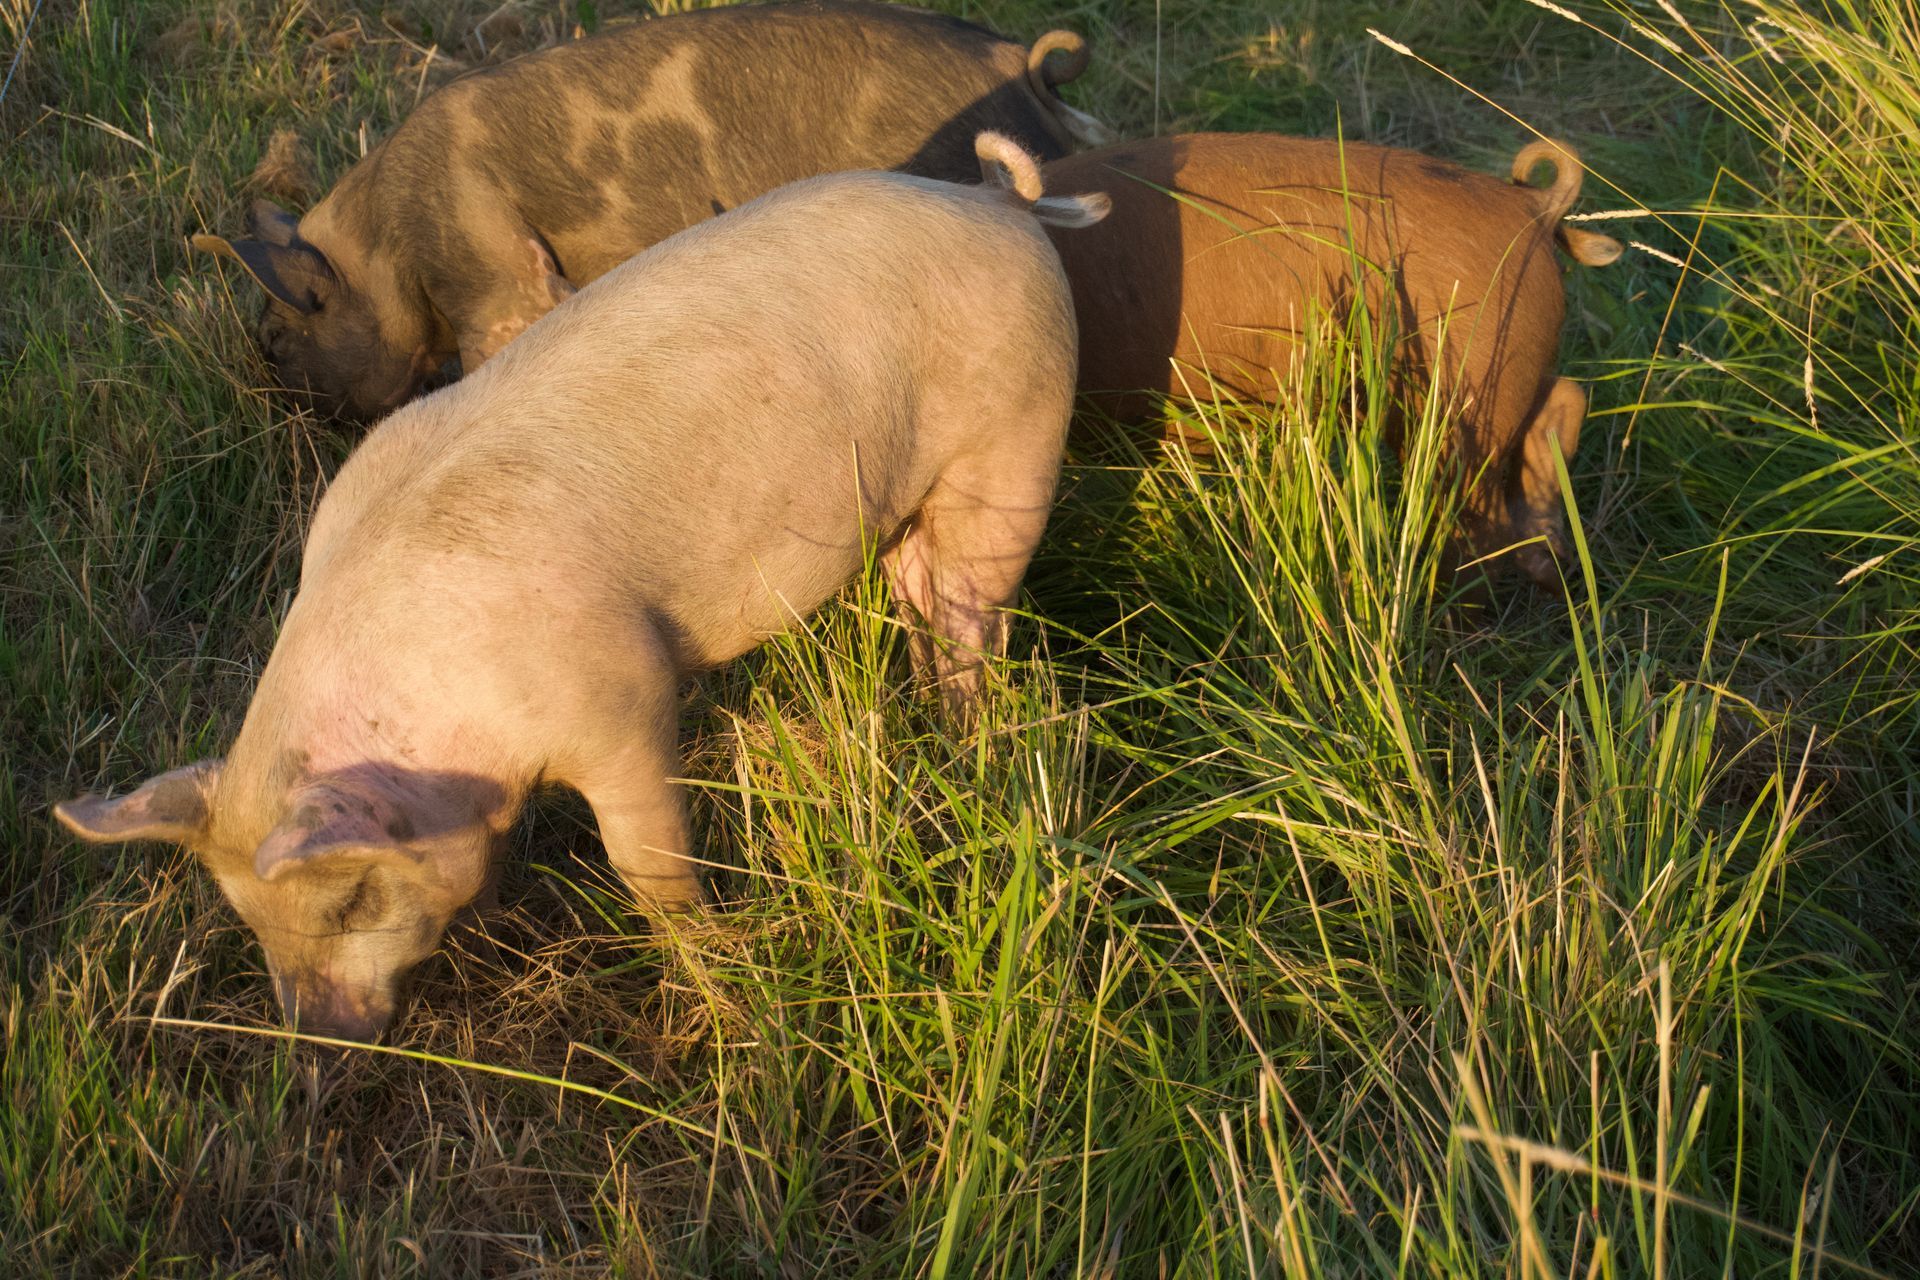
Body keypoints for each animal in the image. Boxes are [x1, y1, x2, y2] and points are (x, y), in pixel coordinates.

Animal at [57, 134, 1108, 1042]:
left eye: (353, 896)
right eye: (246, 913)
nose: (320, 1037)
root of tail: (999, 203)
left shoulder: (623, 698)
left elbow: (646, 858)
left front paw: (711, 965)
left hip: (1018, 437)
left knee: (971, 609)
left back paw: (974, 741)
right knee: (919, 588)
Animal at [1040, 133, 1623, 587]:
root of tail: (1533, 208)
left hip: (1459, 397)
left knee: (1472, 520)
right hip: (1496, 380)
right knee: (1563, 401)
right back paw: (1549, 565)